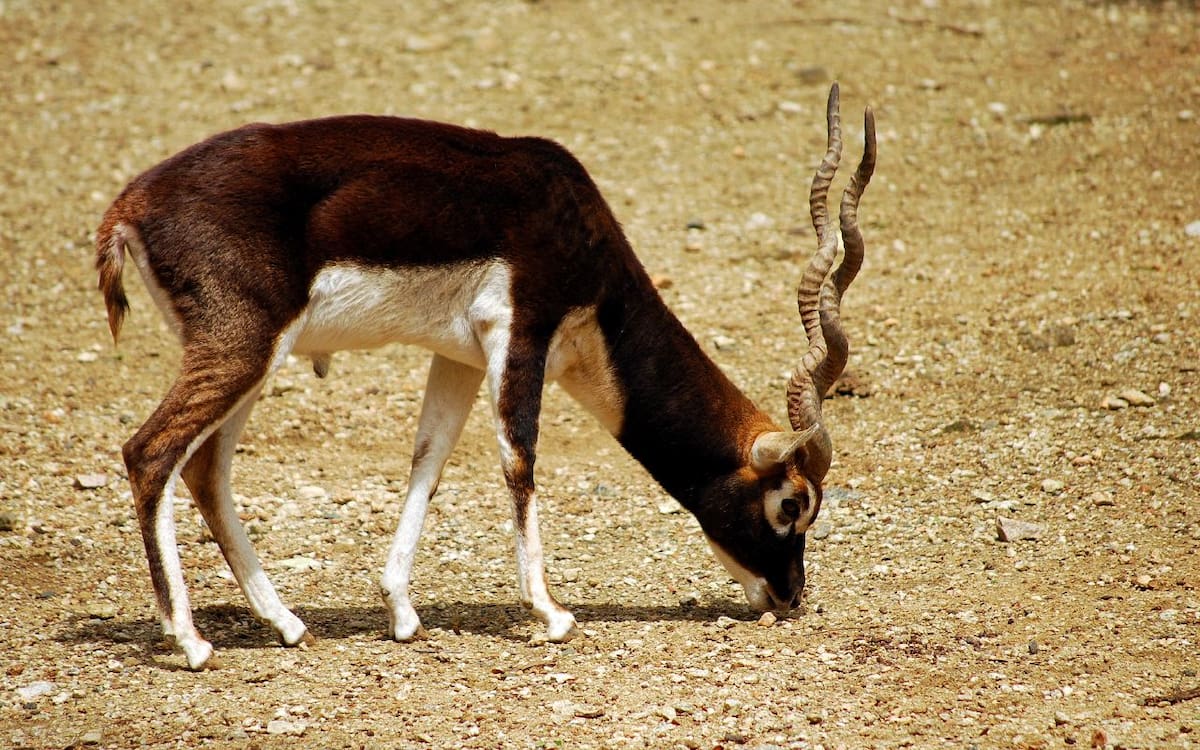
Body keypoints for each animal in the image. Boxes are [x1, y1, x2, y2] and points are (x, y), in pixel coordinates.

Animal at [95, 83, 875, 670]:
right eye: (793, 504)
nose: (790, 596)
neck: (572, 220)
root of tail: (129, 204)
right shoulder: (522, 330)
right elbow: (518, 459)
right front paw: (551, 614)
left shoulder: (460, 357)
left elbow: (429, 461)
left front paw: (402, 612)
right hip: (245, 350)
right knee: (150, 454)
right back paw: (192, 642)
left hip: (252, 361)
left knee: (205, 470)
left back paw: (287, 624)